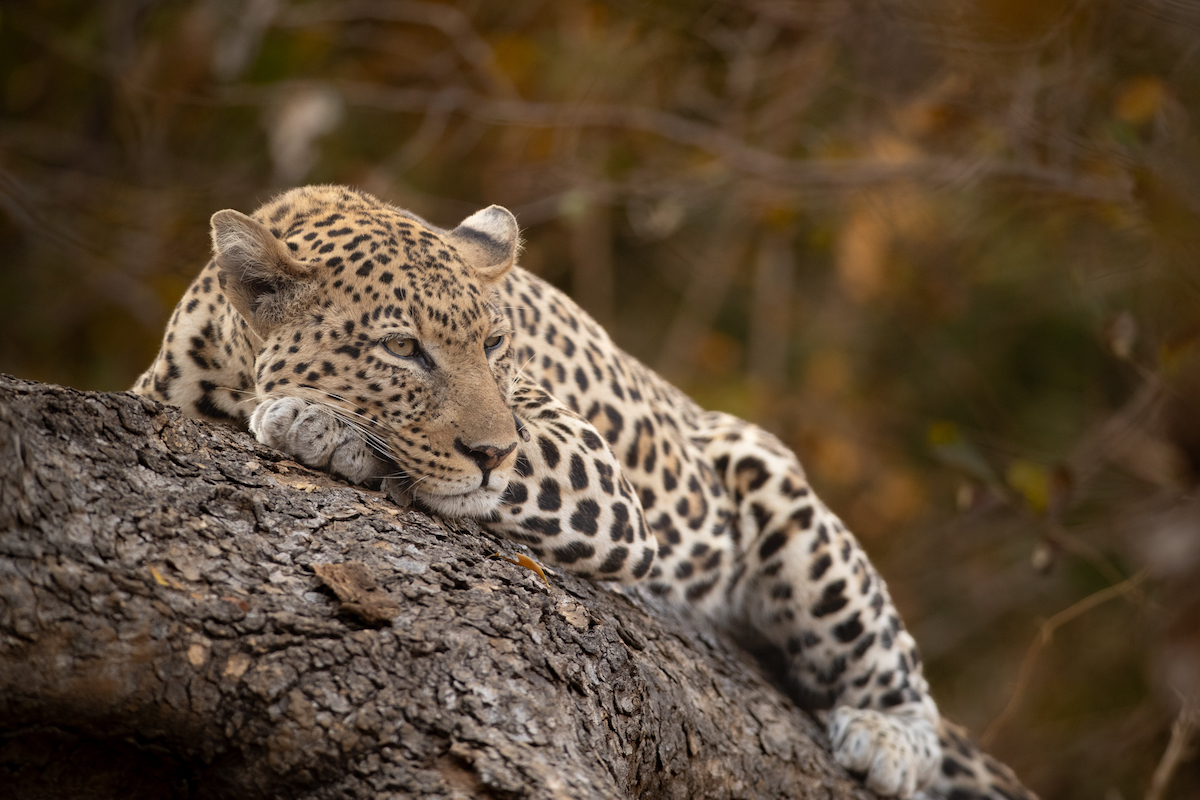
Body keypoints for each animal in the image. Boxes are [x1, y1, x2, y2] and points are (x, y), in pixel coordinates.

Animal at [133, 184, 1036, 800]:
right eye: (400, 348)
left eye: (495, 344)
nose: (491, 448)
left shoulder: (593, 469)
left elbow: (484, 467)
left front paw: (314, 421)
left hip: (773, 483)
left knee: (890, 657)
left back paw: (889, 735)